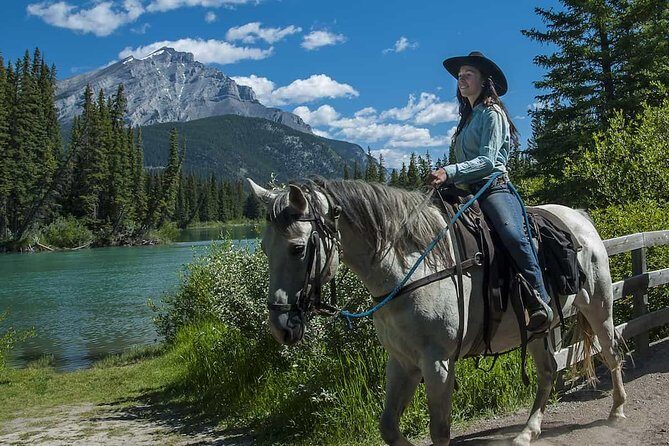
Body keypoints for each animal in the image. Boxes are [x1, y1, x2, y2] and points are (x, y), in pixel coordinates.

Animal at [246, 177, 627, 446]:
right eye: (263, 247)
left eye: (297, 249)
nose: (280, 325)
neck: (408, 268)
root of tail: (579, 217)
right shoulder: (402, 361)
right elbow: (388, 427)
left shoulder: (437, 362)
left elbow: (440, 430)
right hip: (536, 329)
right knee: (548, 371)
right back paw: (526, 432)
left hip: (599, 306)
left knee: (610, 352)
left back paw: (617, 410)